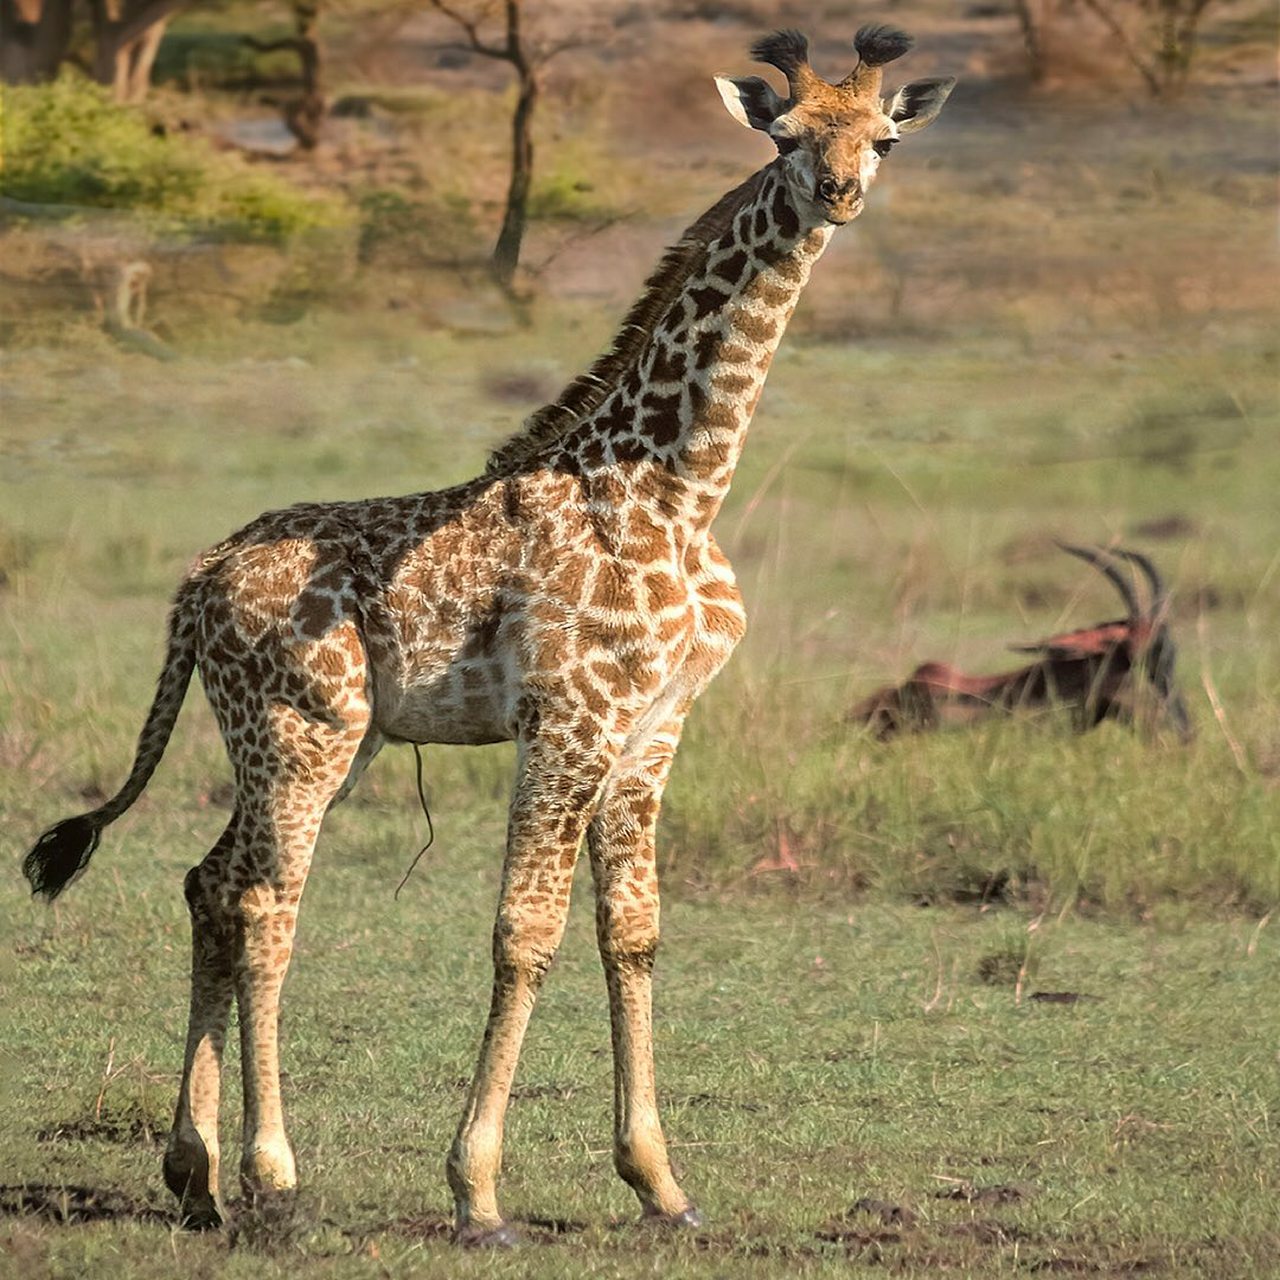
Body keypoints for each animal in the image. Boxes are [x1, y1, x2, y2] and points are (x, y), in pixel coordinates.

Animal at [24, 22, 957, 1239]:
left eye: (882, 136)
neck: (680, 488)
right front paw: (476, 1190)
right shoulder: (569, 718)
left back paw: (198, 1176)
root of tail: (199, 577)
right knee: (266, 901)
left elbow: (633, 933)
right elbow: (525, 933)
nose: (838, 194)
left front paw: (661, 1184)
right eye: (786, 133)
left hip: (326, 738)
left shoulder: (653, 729)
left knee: (208, 882)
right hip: (300, 728)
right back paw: (276, 1179)